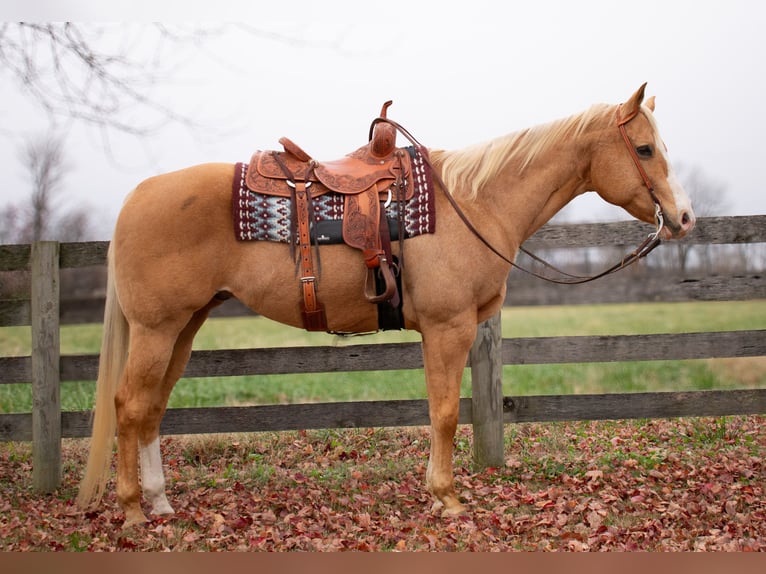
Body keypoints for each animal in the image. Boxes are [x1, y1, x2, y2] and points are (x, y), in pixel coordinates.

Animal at [76, 83, 696, 528]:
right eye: (644, 149)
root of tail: (134, 198)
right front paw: (448, 498)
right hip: (156, 329)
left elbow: (437, 409)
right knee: (130, 406)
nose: (685, 218)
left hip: (183, 327)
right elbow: (445, 412)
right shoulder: (449, 328)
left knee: (151, 408)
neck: (475, 202)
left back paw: (159, 503)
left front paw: (437, 492)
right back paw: (132, 512)